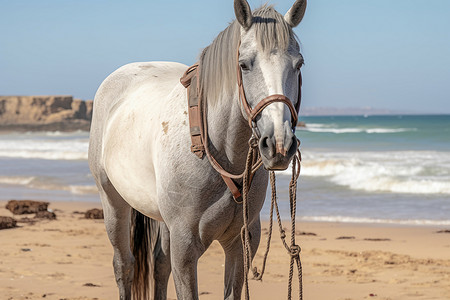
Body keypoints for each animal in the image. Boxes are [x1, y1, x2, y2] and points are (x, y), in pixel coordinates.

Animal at [88, 1, 306, 298]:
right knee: (124, 266)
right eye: (244, 64)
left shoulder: (242, 242)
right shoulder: (185, 248)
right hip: (113, 201)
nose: (279, 144)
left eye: (298, 63)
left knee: (160, 264)